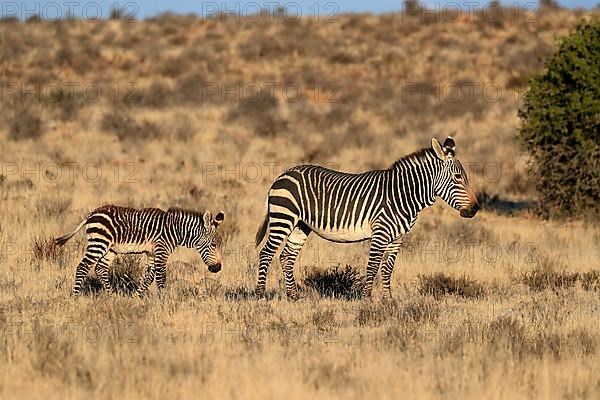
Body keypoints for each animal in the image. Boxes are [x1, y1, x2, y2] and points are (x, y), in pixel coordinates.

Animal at [55, 206, 225, 296]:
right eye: (214, 244)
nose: (218, 268)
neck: (174, 231)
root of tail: (92, 214)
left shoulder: (152, 253)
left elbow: (148, 277)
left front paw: (136, 297)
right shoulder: (161, 250)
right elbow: (161, 277)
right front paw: (164, 301)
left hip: (110, 249)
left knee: (100, 268)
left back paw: (112, 296)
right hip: (99, 243)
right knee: (82, 267)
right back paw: (75, 297)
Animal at [255, 138, 480, 300]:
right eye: (458, 178)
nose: (475, 209)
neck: (402, 195)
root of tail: (283, 174)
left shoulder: (397, 239)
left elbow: (387, 269)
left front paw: (388, 301)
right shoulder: (380, 234)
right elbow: (372, 267)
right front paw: (367, 300)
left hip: (300, 225)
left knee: (286, 256)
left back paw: (293, 296)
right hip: (283, 218)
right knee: (266, 253)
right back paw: (260, 295)